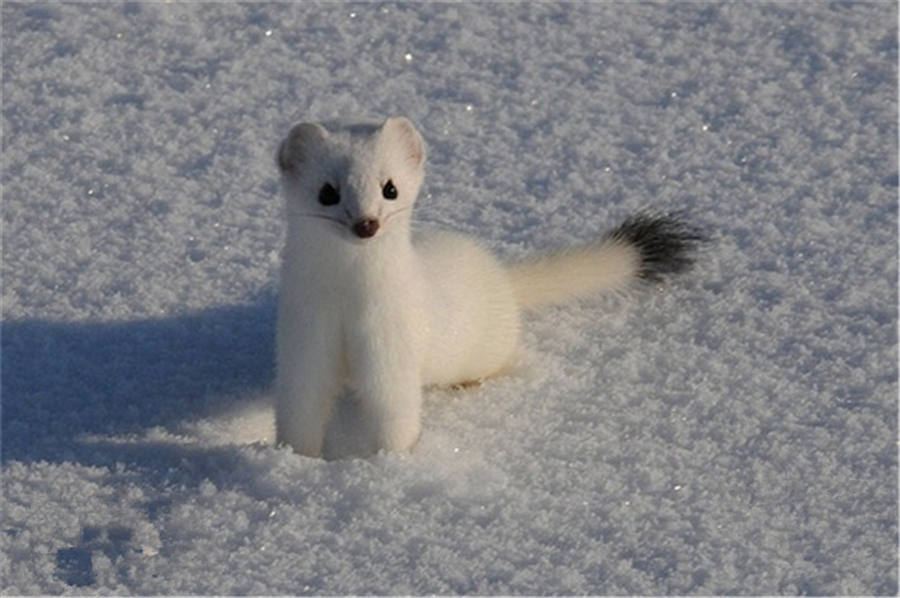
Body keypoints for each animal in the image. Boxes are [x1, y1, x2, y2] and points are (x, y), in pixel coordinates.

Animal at [274, 117, 704, 458]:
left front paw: (390, 462)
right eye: (327, 192)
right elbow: (300, 405)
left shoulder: (392, 343)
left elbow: (394, 409)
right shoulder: (303, 337)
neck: (344, 302)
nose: (367, 223)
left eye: (390, 188)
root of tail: (501, 276)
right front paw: (294, 459)